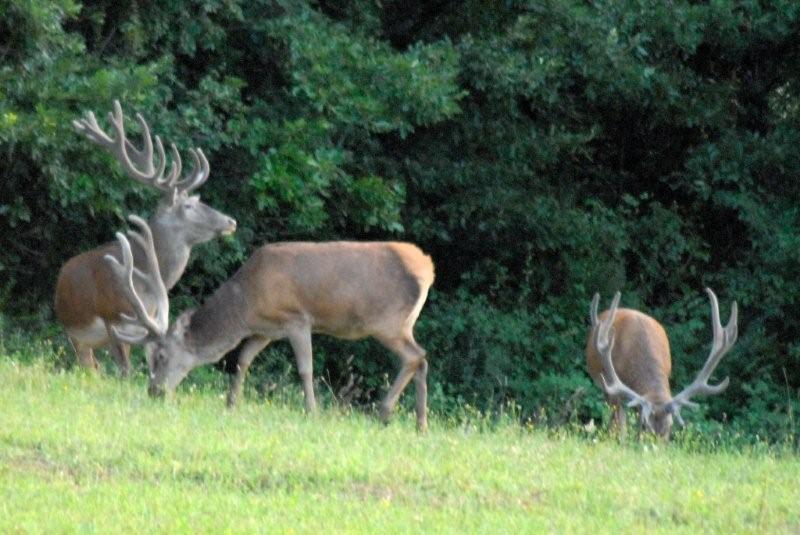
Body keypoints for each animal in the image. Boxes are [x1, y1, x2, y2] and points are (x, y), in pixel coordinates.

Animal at [51, 101, 234, 376]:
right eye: (188, 206)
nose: (230, 221)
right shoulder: (113, 320)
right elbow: (125, 370)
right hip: (77, 335)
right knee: (89, 366)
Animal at [107, 218, 438, 432]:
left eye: (161, 356)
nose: (154, 391)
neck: (246, 304)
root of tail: (428, 267)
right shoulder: (264, 330)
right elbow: (242, 359)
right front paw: (231, 404)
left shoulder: (297, 318)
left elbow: (305, 368)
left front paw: (312, 411)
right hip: (403, 323)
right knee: (421, 358)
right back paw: (420, 423)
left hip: (387, 322)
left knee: (415, 356)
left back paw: (384, 413)